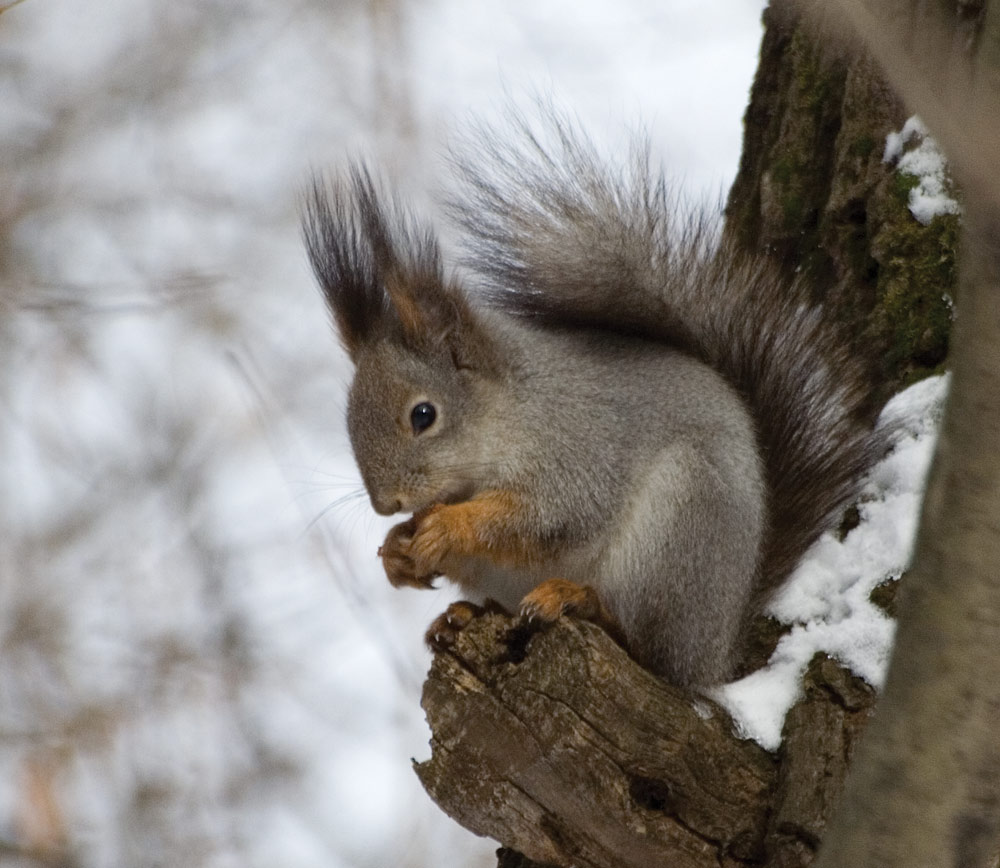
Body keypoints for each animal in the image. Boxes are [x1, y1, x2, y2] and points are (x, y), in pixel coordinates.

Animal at [300, 113, 888, 684]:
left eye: (423, 415)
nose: (386, 504)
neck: (509, 413)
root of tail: (718, 649)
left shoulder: (578, 448)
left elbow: (547, 516)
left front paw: (447, 526)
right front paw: (396, 551)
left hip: (680, 525)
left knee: (649, 648)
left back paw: (581, 602)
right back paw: (460, 616)